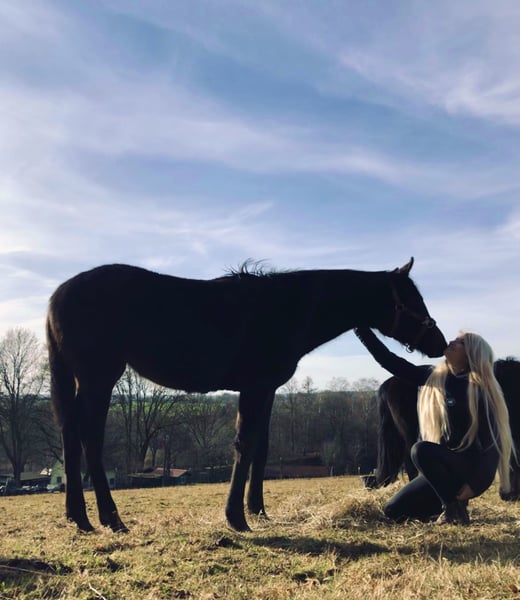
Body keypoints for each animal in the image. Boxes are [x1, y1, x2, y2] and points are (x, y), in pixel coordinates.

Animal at [46, 257, 447, 532]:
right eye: (411, 300)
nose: (439, 343)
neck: (283, 309)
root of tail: (57, 296)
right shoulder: (254, 388)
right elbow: (244, 444)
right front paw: (236, 517)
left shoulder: (266, 390)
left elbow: (260, 449)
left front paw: (257, 509)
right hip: (99, 378)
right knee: (89, 438)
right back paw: (109, 518)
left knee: (70, 433)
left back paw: (78, 517)